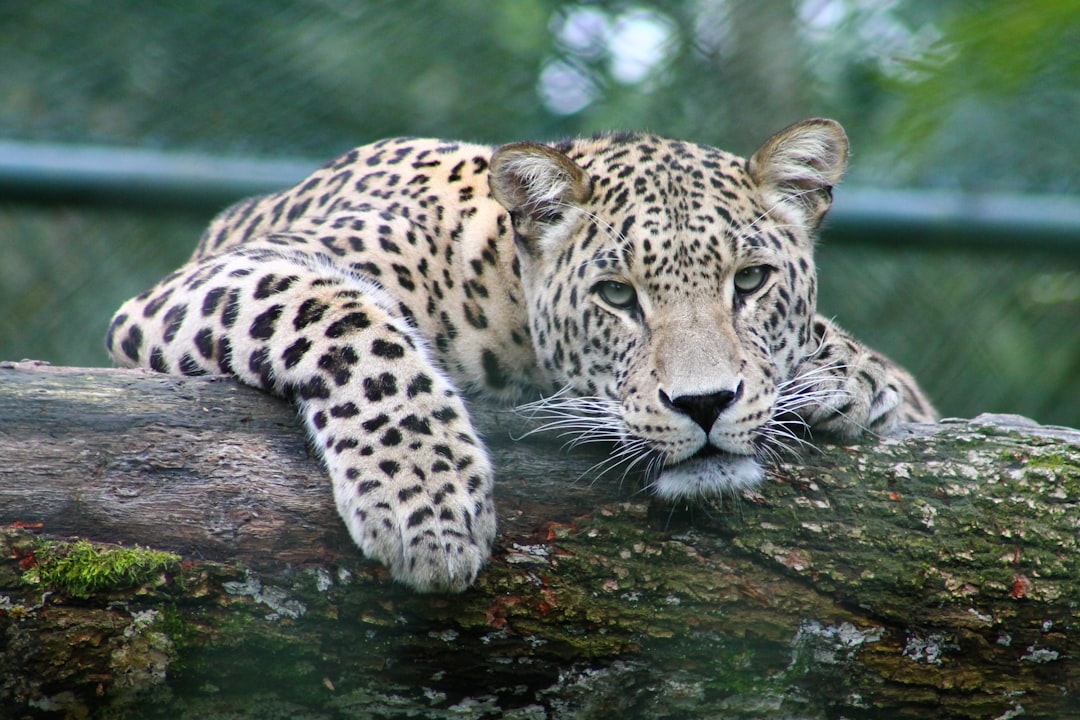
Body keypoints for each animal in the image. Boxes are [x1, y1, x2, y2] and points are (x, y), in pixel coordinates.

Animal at [107, 117, 937, 591]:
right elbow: (344, 319)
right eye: (616, 296)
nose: (704, 405)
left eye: (753, 281)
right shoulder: (207, 283)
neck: (500, 290)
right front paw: (427, 503)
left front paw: (853, 375)